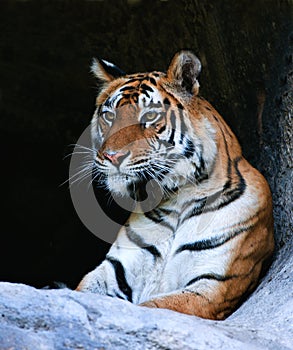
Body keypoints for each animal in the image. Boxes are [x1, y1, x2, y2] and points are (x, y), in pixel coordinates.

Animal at [75, 50, 274, 320]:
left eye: (149, 116)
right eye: (109, 116)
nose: (112, 156)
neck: (178, 197)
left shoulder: (211, 286)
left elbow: (153, 308)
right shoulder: (113, 272)